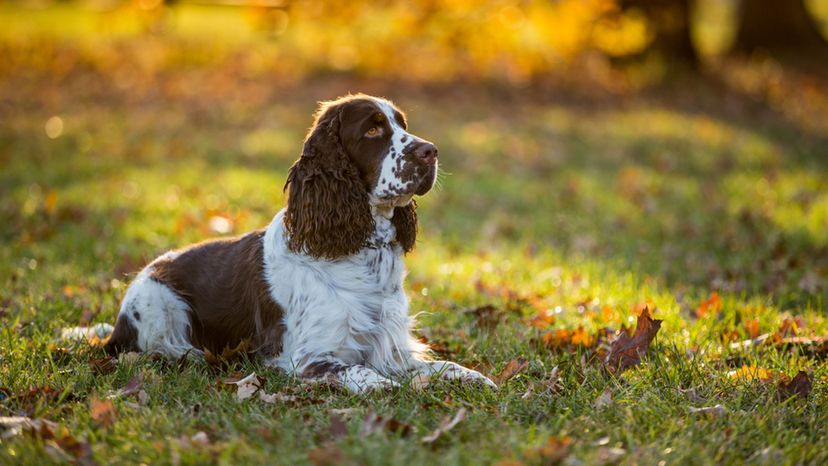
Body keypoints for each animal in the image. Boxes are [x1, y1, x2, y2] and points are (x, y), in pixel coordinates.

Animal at [102, 93, 492, 392]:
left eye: (403, 126)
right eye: (372, 129)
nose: (431, 151)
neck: (363, 249)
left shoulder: (393, 346)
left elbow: (444, 365)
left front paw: (475, 376)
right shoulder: (307, 357)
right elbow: (361, 371)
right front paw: (386, 385)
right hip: (160, 303)